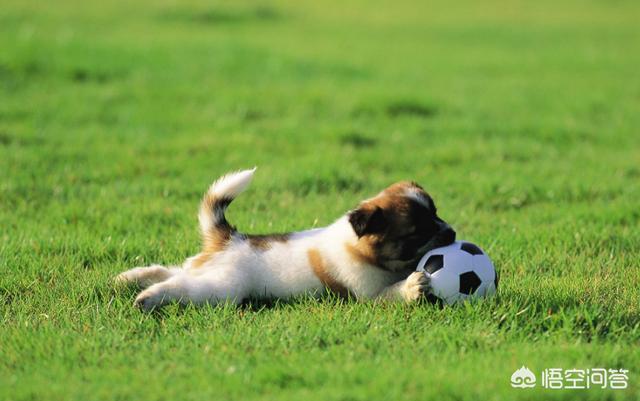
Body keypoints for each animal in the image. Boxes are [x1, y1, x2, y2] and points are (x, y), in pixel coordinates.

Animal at [115, 167, 456, 310]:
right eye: (417, 232)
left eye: (437, 214)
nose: (452, 232)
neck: (361, 249)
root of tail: (229, 238)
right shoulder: (368, 295)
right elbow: (394, 292)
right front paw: (413, 286)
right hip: (222, 286)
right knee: (181, 285)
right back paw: (147, 298)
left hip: (205, 268)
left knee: (171, 270)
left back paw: (128, 278)